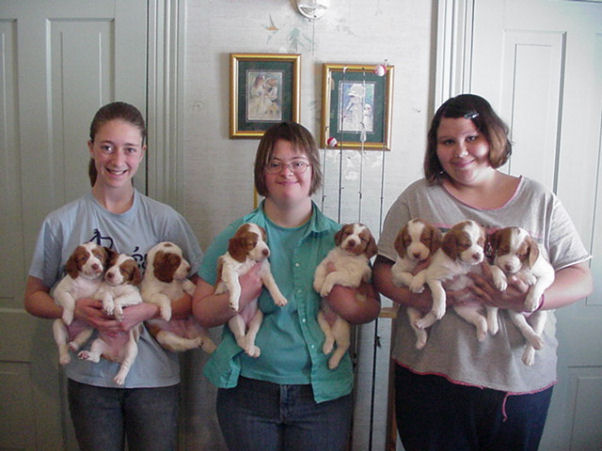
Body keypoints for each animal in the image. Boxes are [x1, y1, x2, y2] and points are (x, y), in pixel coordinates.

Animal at [77, 252, 143, 386]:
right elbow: (107, 295)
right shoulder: (99, 294)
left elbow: (120, 299)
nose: (109, 274)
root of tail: (115, 356)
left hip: (131, 349)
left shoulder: (135, 296)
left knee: (126, 364)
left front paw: (117, 312)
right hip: (98, 342)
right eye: (111, 264)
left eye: (124, 270)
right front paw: (108, 306)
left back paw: (120, 377)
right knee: (96, 358)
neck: (116, 287)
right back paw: (86, 355)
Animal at [214, 224, 288, 358]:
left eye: (264, 239)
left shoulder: (264, 271)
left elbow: (273, 285)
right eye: (252, 243)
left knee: (251, 333)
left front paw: (280, 298)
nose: (266, 251)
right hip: (235, 320)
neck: (249, 259)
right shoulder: (230, 269)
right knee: (240, 339)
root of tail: (247, 321)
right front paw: (234, 302)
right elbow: (237, 285)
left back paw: (252, 348)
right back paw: (248, 347)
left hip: (258, 316)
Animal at [312, 224, 378, 370]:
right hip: (320, 317)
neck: (346, 256)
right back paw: (327, 347)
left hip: (341, 327)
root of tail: (331, 321)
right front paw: (318, 284)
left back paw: (333, 361)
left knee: (344, 345)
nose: (352, 242)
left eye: (362, 239)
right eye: (348, 233)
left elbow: (333, 274)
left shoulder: (351, 277)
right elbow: (320, 270)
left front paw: (325, 287)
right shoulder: (326, 262)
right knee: (329, 335)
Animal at [392, 219, 442, 350]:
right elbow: (405, 275)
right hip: (412, 310)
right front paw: (413, 284)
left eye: (425, 239)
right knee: (416, 325)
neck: (416, 262)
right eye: (408, 241)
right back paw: (421, 340)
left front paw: (416, 282)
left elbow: (424, 272)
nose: (416, 254)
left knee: (433, 316)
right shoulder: (395, 273)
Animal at [488, 228, 552, 366]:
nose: (508, 266)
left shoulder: (548, 273)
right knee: (524, 327)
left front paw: (531, 299)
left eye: (521, 255)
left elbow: (538, 283)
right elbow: (496, 267)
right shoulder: (497, 262)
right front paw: (501, 279)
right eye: (504, 249)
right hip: (513, 311)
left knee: (536, 330)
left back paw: (531, 350)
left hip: (540, 314)